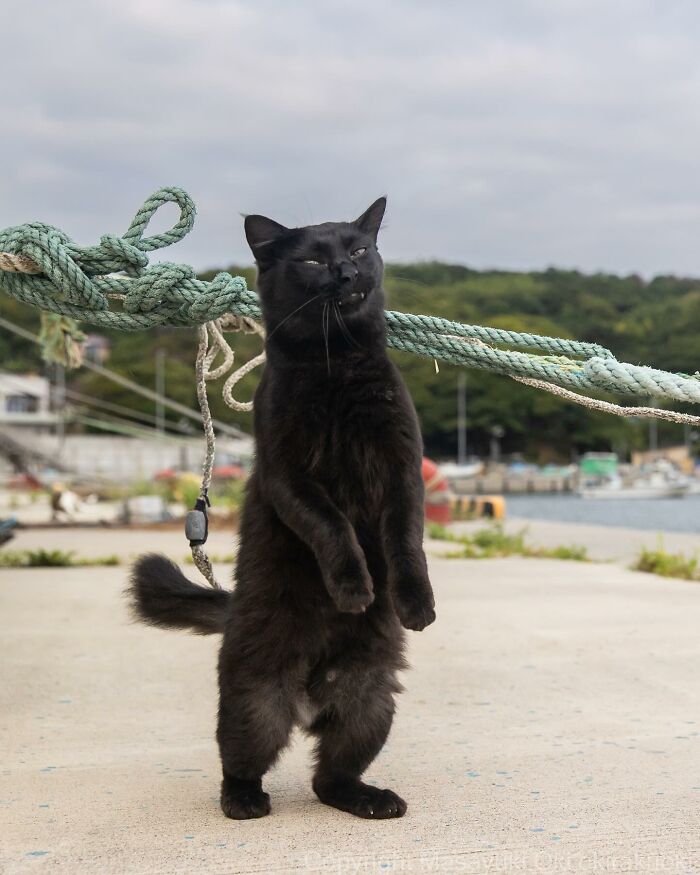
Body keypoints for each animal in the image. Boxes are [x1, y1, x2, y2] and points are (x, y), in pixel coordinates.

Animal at [125, 197, 432, 820]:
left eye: (360, 248)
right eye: (313, 259)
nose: (347, 272)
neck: (336, 364)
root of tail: (310, 697)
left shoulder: (401, 469)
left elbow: (405, 540)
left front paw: (413, 602)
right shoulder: (288, 472)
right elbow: (333, 526)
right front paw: (354, 589)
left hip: (371, 703)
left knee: (330, 777)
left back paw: (370, 799)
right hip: (255, 701)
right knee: (240, 760)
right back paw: (244, 801)